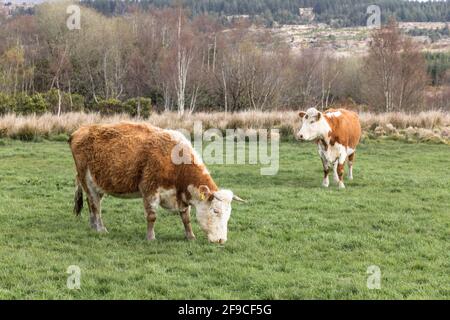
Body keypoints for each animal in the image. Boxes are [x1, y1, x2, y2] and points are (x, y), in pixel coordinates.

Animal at [69, 122, 246, 242]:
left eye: (229, 214)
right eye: (215, 211)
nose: (222, 240)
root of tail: (79, 130)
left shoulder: (181, 196)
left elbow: (186, 217)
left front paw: (190, 236)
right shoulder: (150, 190)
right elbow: (152, 216)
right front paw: (151, 237)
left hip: (97, 185)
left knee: (92, 203)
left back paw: (93, 226)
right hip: (87, 180)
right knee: (95, 206)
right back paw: (100, 228)